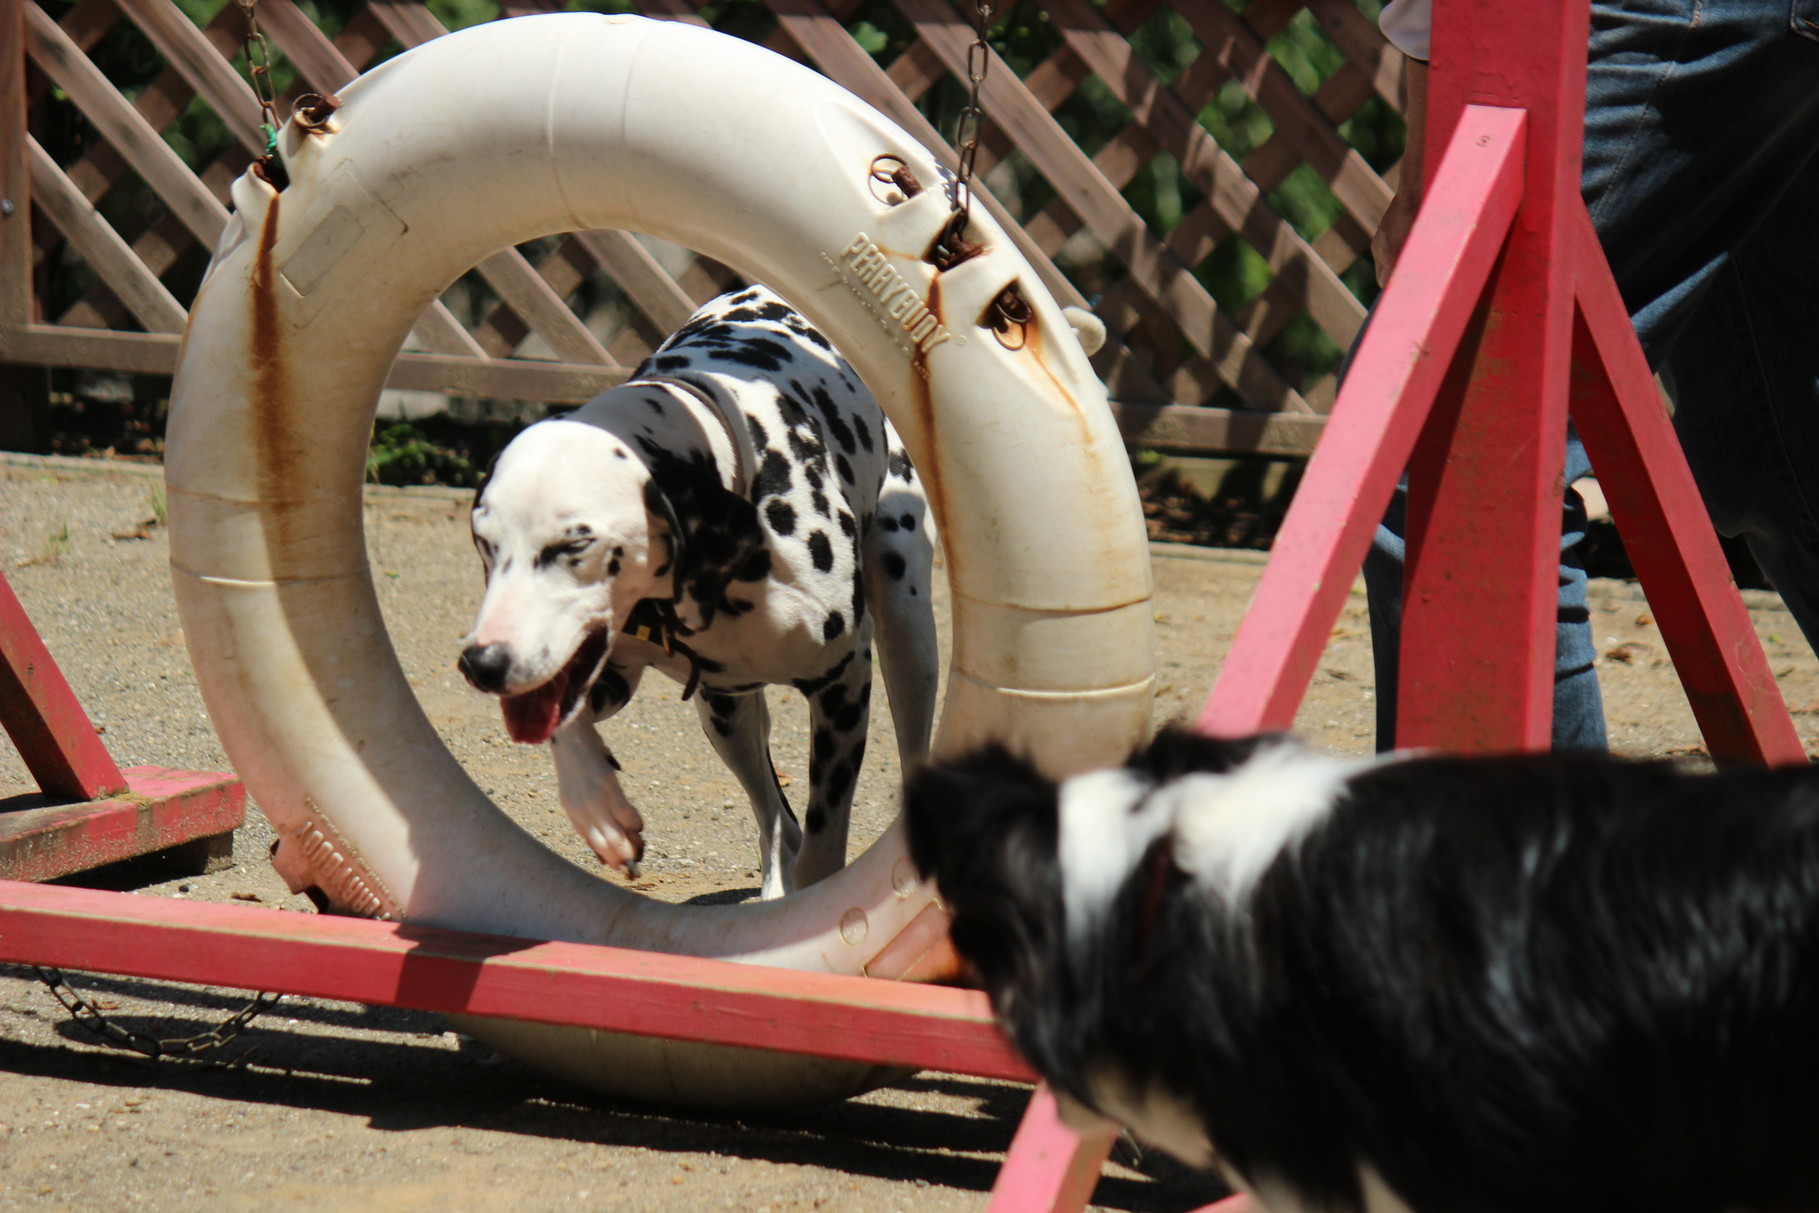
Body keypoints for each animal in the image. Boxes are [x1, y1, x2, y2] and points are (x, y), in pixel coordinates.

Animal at [458, 285, 938, 902]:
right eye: (484, 542)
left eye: (575, 543)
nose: (483, 663)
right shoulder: (611, 679)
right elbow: (568, 724)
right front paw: (598, 808)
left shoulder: (844, 685)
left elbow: (823, 845)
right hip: (726, 717)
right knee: (777, 823)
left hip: (909, 641)